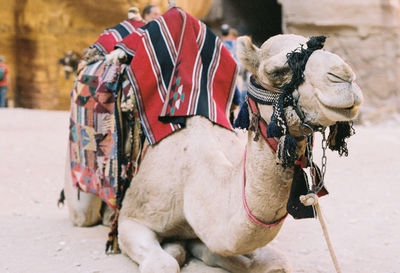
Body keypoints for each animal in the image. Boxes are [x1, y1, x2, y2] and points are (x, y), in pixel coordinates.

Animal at [63, 31, 362, 270]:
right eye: (278, 70)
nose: (345, 77)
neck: (192, 178)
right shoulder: (132, 218)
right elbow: (164, 262)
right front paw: (175, 248)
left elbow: (270, 261)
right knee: (84, 213)